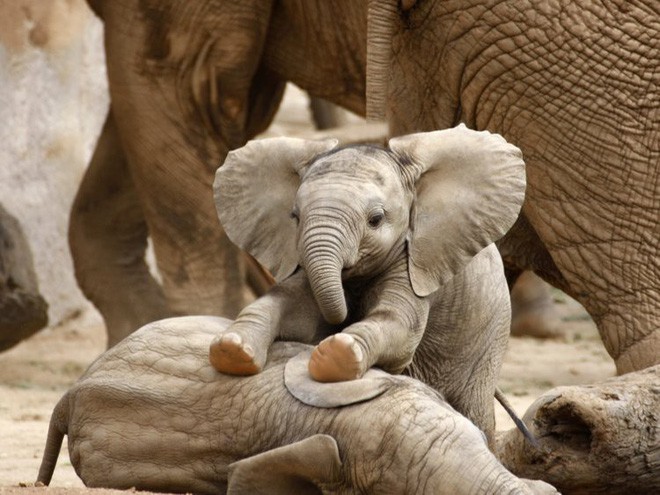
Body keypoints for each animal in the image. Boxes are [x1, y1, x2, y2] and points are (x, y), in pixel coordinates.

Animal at [209, 125, 524, 442]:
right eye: (294, 217)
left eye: (376, 219)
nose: (344, 317)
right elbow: (291, 304)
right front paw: (231, 348)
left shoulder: (414, 261)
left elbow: (399, 325)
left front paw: (335, 354)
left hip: (490, 338)